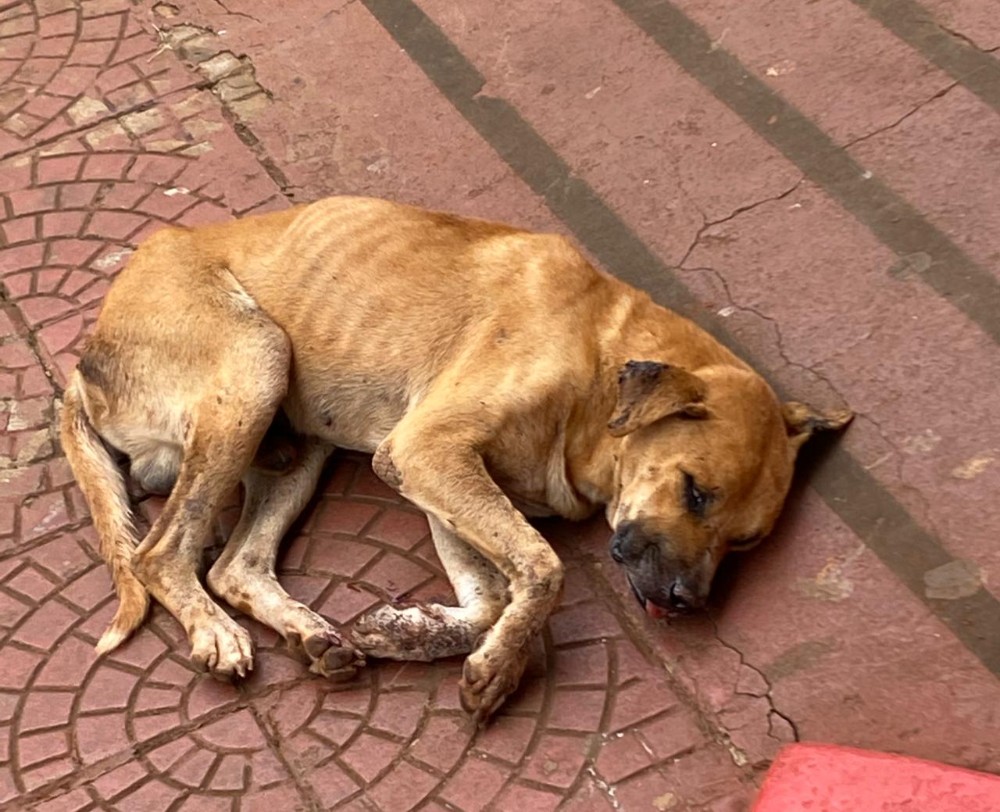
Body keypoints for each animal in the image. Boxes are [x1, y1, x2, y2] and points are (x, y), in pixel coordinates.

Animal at [58, 197, 848, 724]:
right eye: (694, 491)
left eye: (744, 541)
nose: (686, 602)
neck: (599, 357)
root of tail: (83, 357)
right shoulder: (428, 451)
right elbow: (544, 570)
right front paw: (498, 667)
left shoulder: (436, 478)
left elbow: (495, 595)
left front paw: (411, 634)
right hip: (257, 361)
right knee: (161, 553)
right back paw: (215, 634)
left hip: (294, 445)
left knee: (233, 564)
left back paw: (310, 635)